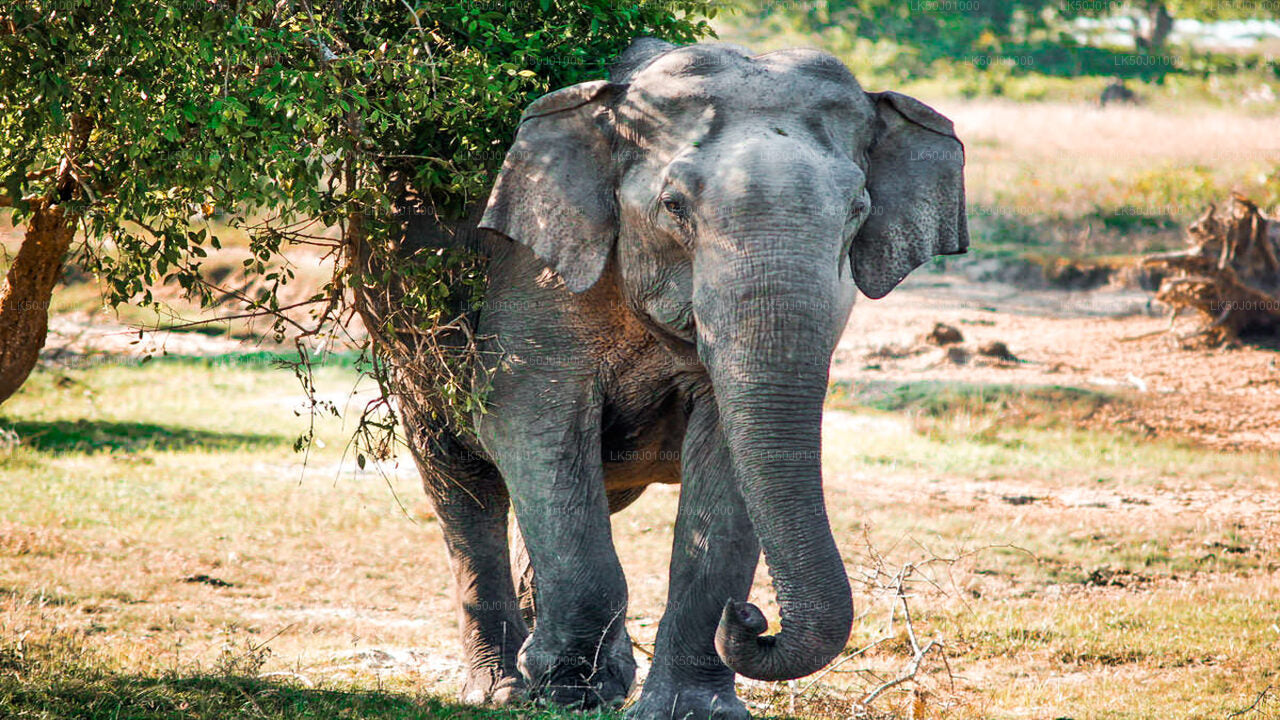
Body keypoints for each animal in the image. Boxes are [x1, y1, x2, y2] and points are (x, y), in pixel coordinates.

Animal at [400, 38, 968, 720]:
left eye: (857, 212)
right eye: (673, 207)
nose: (752, 616)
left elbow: (725, 460)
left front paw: (690, 708)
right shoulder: (534, 271)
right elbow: (528, 424)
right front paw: (567, 694)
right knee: (463, 480)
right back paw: (505, 687)